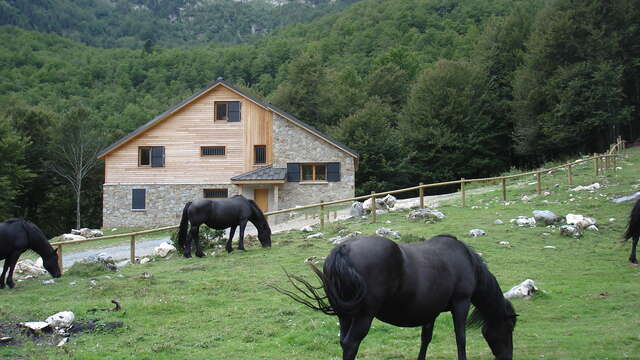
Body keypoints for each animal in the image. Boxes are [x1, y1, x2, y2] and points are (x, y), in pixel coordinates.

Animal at [272, 235, 516, 358]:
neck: (467, 261)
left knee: (343, 341)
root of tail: (343, 250)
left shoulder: (431, 311)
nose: (508, 358)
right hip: (364, 316)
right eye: (509, 328)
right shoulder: (461, 302)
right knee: (351, 344)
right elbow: (461, 338)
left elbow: (425, 339)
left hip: (345, 314)